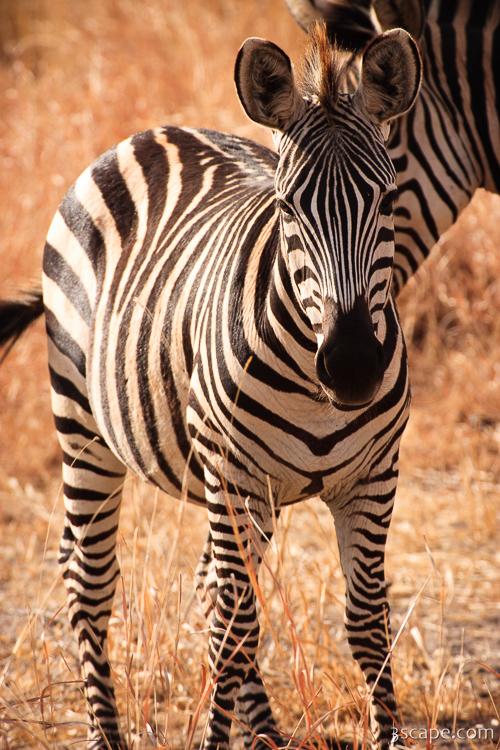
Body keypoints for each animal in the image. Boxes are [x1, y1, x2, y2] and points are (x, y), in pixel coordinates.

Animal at [0, 24, 422, 750]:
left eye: (387, 200)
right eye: (286, 207)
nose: (351, 366)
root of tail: (153, 133)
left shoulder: (373, 478)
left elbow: (368, 623)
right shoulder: (235, 472)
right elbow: (237, 627)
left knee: (212, 593)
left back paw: (265, 732)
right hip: (85, 424)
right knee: (91, 582)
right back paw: (109, 732)